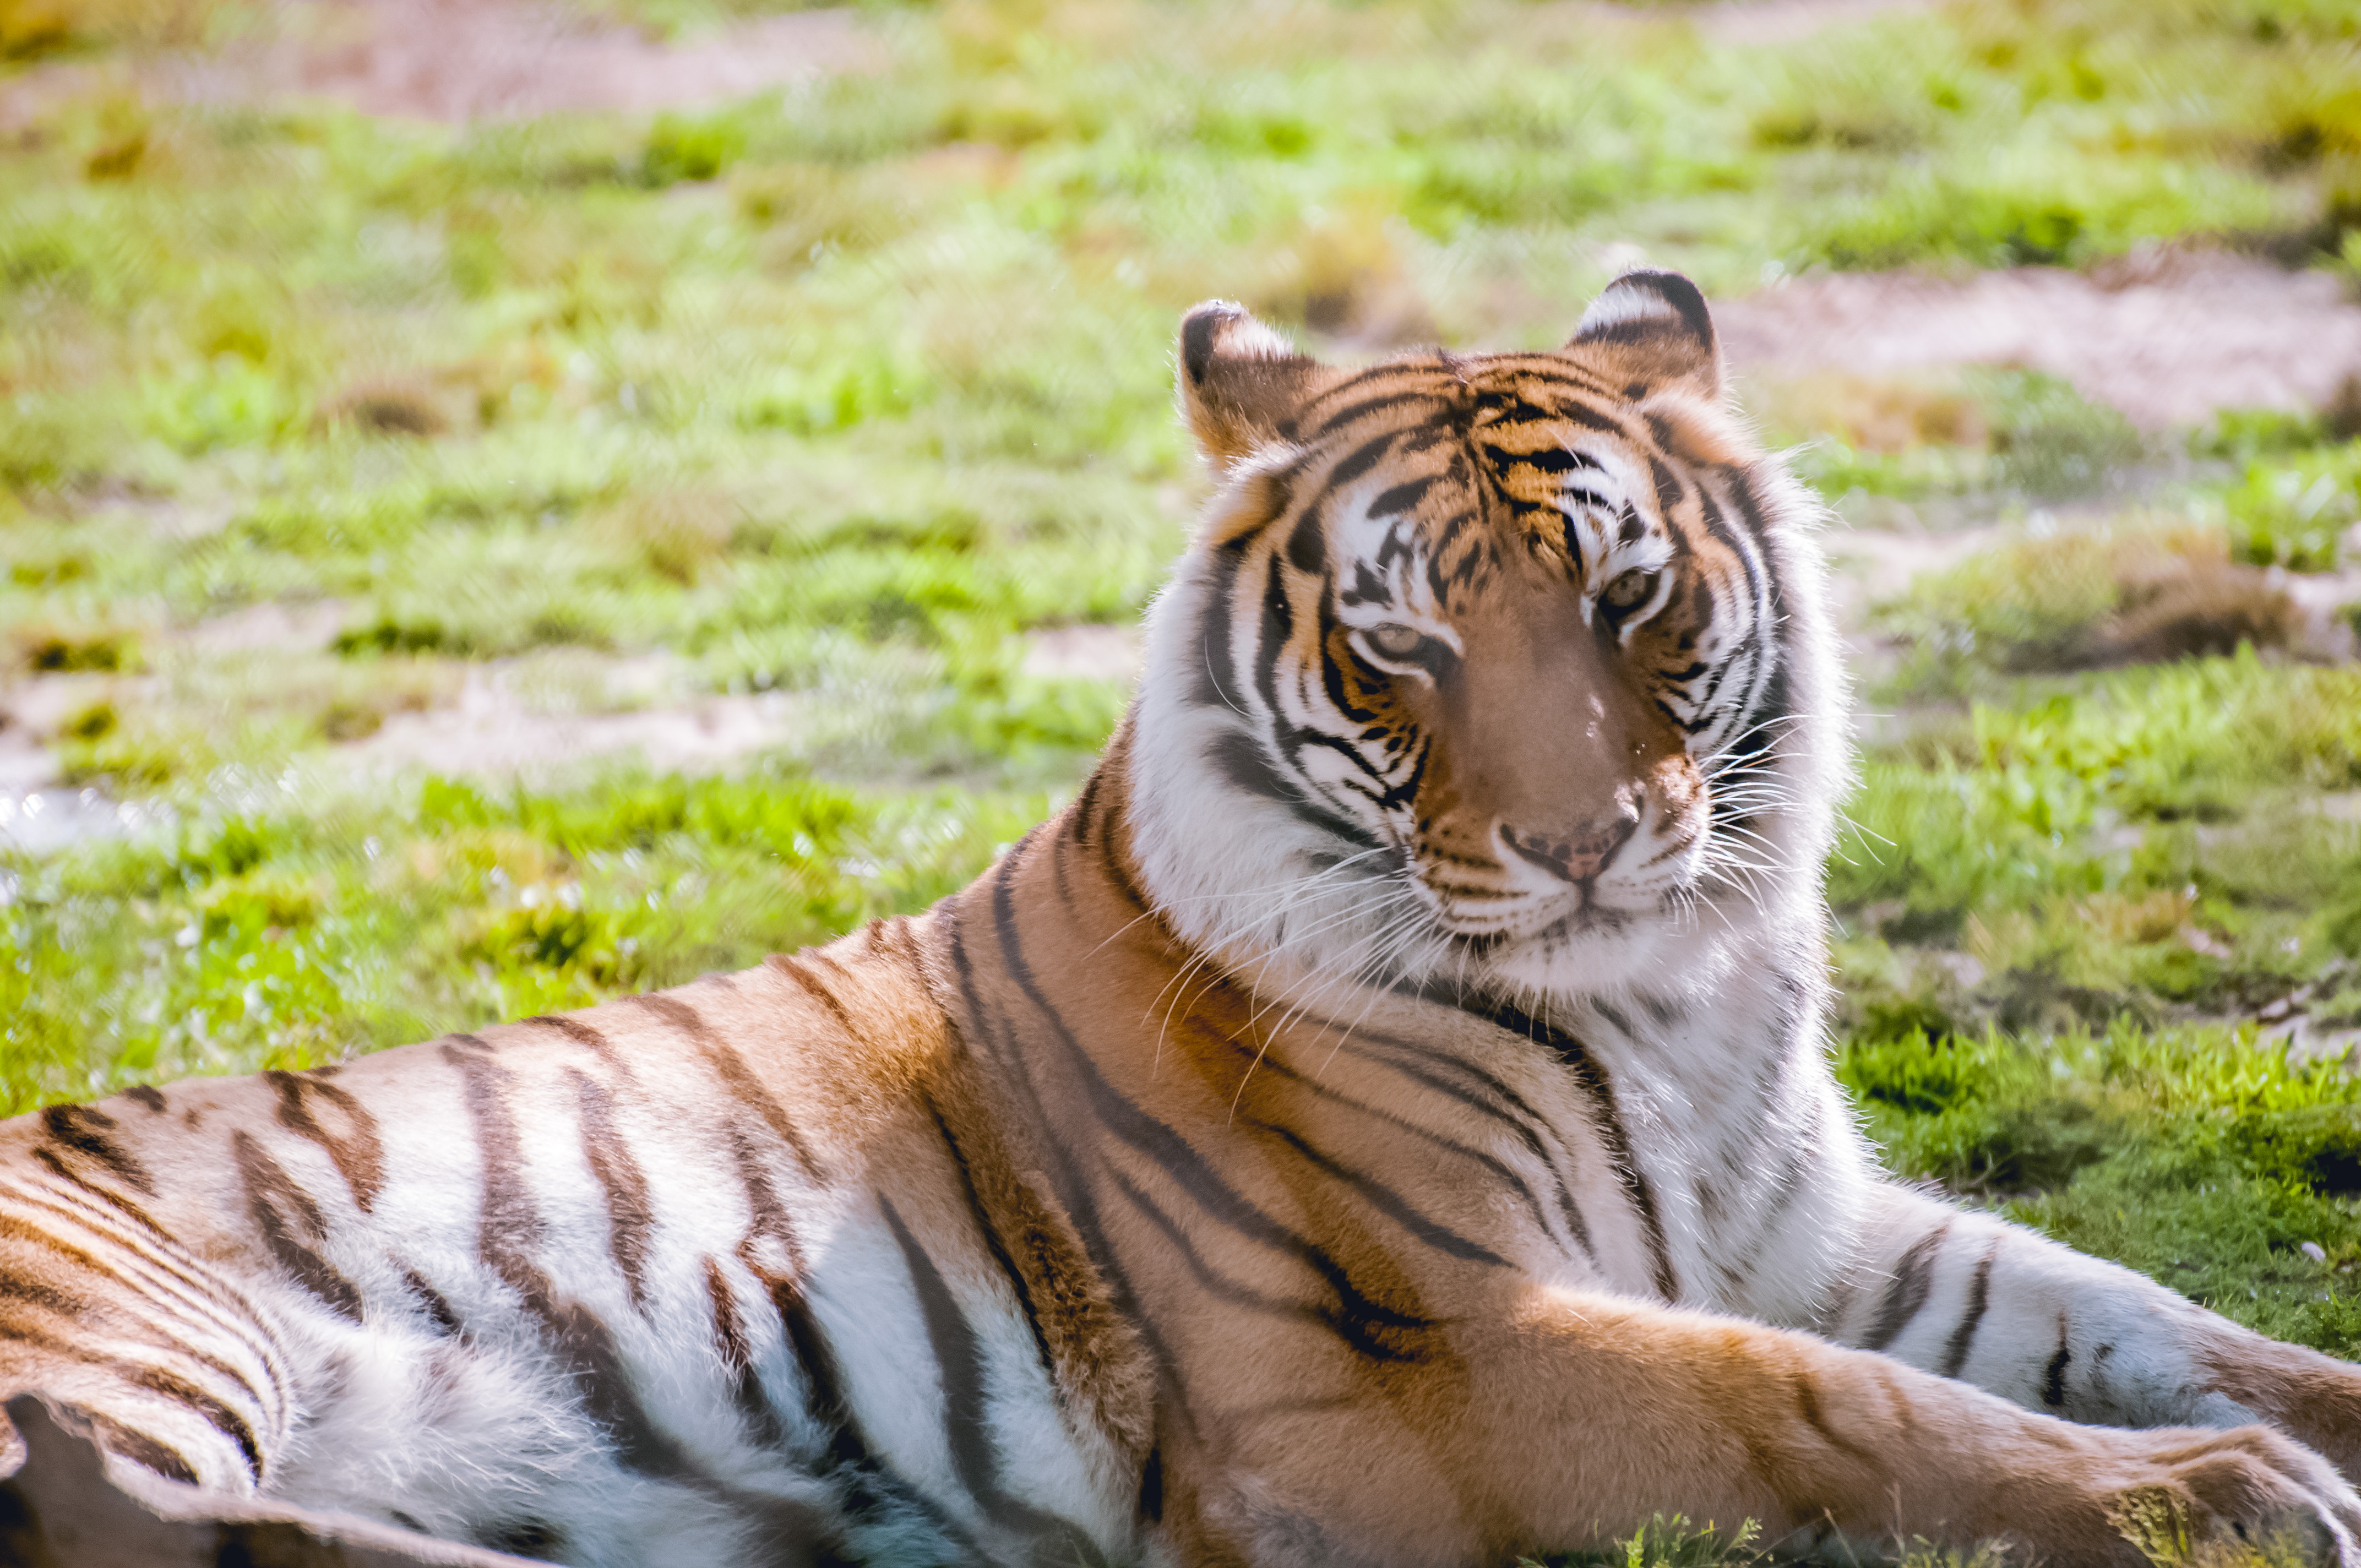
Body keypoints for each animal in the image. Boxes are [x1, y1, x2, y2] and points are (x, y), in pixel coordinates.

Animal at [4, 273, 2361, 1567]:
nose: (1586, 840)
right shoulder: (1422, 1344)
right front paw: (2225, 1498)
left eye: (1625, 598)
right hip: (146, 1326)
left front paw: (2287, 1411)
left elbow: (2138, 1313)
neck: (1675, 994)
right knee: (115, 1513)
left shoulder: (1818, 1230)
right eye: (1403, 646)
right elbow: (1838, 1412)